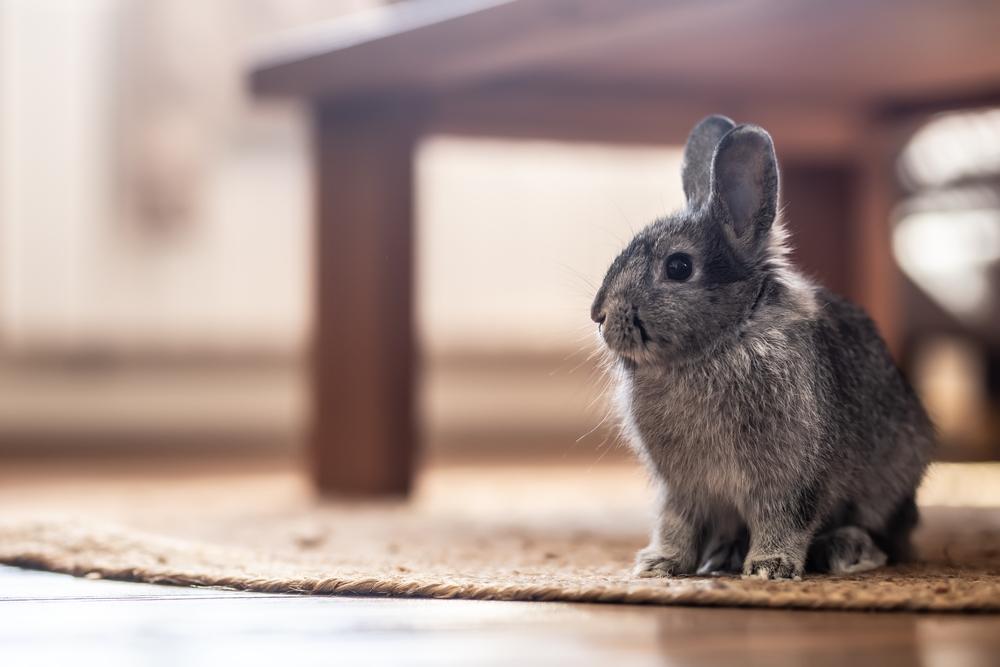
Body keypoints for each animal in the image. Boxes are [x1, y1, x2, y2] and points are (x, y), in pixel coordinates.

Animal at [588, 115, 932, 580]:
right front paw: (660, 565)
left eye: (678, 267)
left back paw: (847, 551)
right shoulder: (683, 488)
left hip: (887, 486)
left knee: (886, 537)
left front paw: (770, 568)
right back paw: (723, 555)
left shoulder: (791, 477)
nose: (598, 315)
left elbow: (783, 519)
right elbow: (676, 523)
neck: (725, 338)